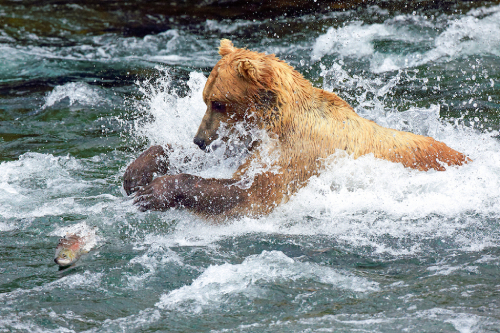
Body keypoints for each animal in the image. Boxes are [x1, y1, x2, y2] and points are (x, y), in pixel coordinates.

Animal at [123, 39, 470, 219]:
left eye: (218, 103)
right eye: (206, 99)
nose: (200, 140)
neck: (278, 121)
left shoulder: (299, 152)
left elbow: (251, 193)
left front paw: (157, 191)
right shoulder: (252, 141)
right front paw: (139, 171)